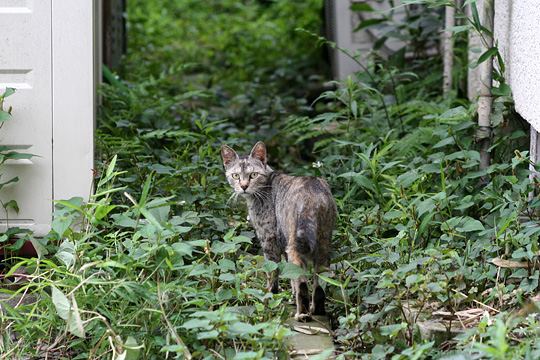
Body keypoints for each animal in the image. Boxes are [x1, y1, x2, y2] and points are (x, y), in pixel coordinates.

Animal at [221, 142, 336, 320]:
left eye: (253, 175)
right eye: (235, 176)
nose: (244, 186)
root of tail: (312, 193)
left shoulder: (269, 239)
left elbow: (272, 271)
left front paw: (269, 295)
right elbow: (288, 277)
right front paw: (290, 297)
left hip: (295, 245)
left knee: (302, 281)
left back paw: (302, 314)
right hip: (323, 243)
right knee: (320, 283)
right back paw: (317, 310)